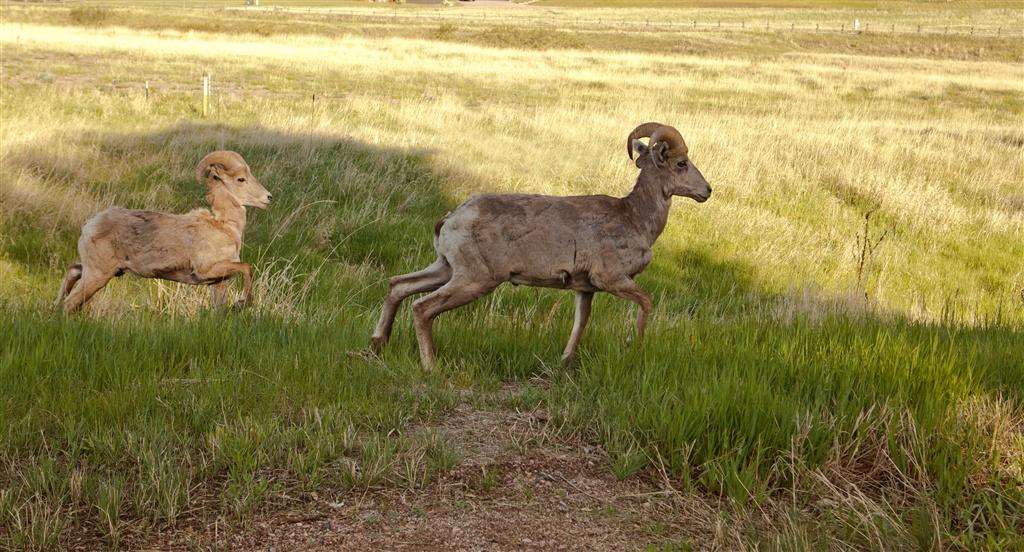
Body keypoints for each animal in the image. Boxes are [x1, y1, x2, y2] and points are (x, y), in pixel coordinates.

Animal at [55, 151, 272, 313]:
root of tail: (90, 225)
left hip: (100, 270)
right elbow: (247, 267)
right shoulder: (207, 270)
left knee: (73, 272)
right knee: (70, 304)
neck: (224, 226)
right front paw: (242, 304)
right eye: (241, 179)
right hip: (98, 275)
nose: (268, 197)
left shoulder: (218, 283)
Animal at [372, 122, 716, 368]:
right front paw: (634, 345)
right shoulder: (613, 279)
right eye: (681, 163)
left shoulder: (585, 290)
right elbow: (646, 303)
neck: (635, 218)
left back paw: (378, 344)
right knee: (422, 307)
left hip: (444, 269)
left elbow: (580, 324)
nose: (707, 191)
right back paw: (431, 366)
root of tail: (452, 219)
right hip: (473, 281)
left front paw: (565, 361)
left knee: (398, 286)